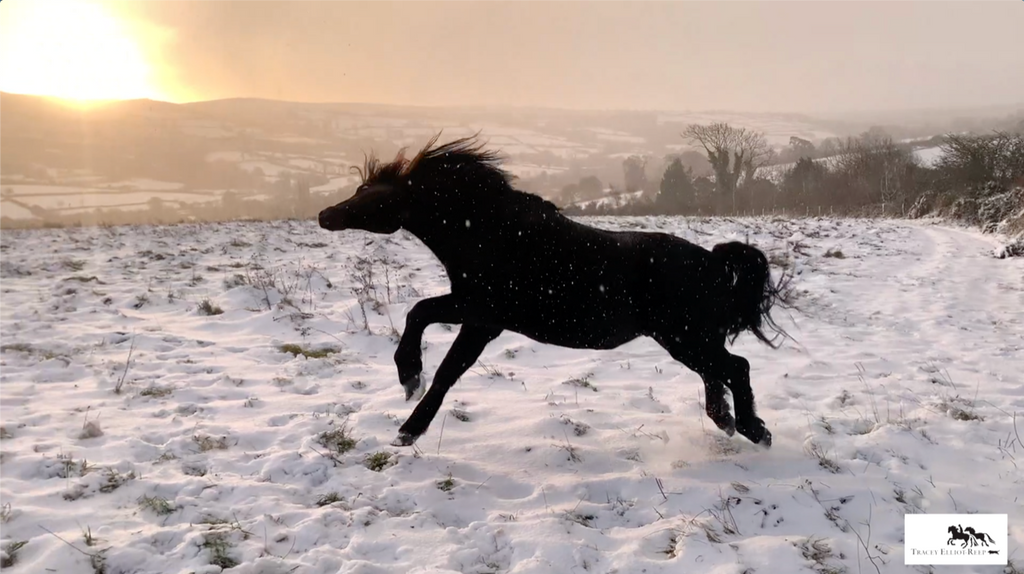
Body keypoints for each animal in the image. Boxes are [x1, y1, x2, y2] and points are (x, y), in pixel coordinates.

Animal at [319, 133, 790, 448]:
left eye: (369, 194)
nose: (325, 214)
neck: (489, 233)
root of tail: (714, 261)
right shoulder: (474, 315)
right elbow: (433, 342)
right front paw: (410, 399)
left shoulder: (480, 314)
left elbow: (432, 341)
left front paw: (408, 405)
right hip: (691, 340)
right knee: (720, 374)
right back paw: (728, 421)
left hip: (686, 338)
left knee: (737, 367)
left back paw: (755, 430)